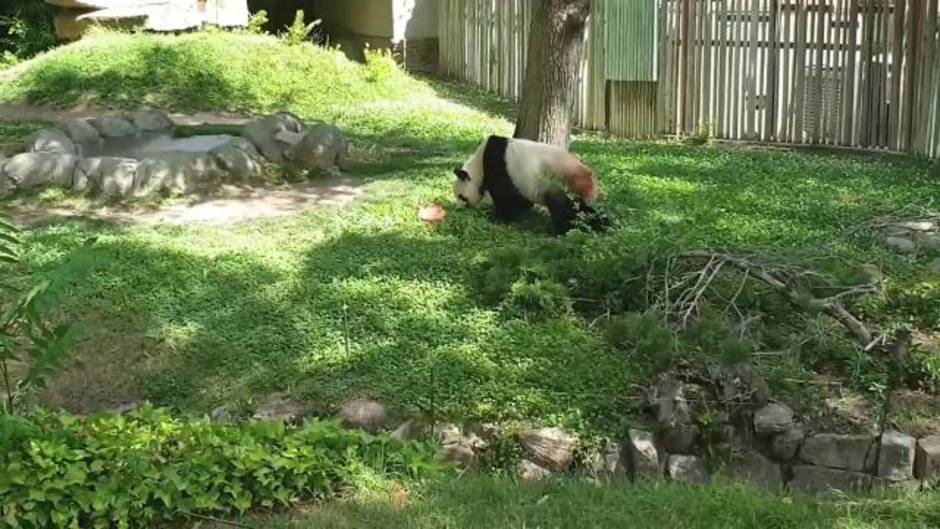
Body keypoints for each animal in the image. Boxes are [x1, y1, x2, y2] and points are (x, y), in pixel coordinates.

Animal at [454, 134, 608, 233]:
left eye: (461, 196)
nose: (459, 208)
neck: (479, 163)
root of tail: (589, 176)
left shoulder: (498, 165)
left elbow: (505, 196)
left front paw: (497, 218)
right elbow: (521, 199)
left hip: (563, 181)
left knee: (565, 209)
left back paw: (561, 231)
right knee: (586, 210)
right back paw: (600, 226)